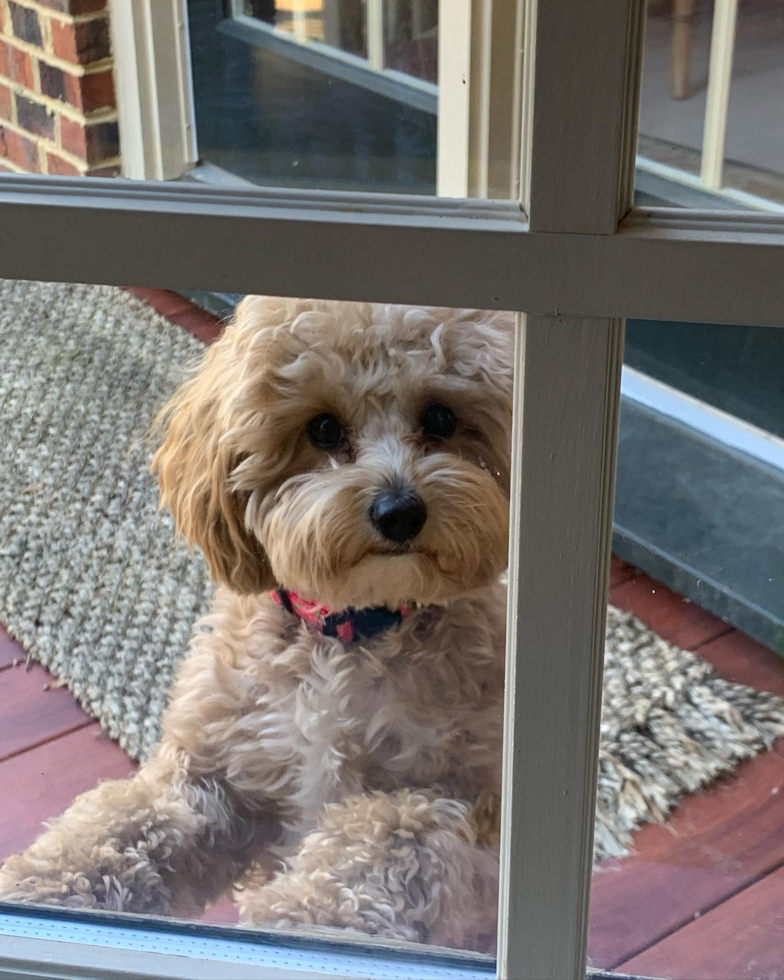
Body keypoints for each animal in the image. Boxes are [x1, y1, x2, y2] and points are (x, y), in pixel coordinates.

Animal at [0, 296, 516, 948]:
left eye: (442, 417)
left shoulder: (458, 801)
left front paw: (300, 918)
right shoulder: (212, 772)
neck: (348, 632)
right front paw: (48, 882)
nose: (399, 510)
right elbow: (130, 822)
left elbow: (384, 843)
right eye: (323, 429)